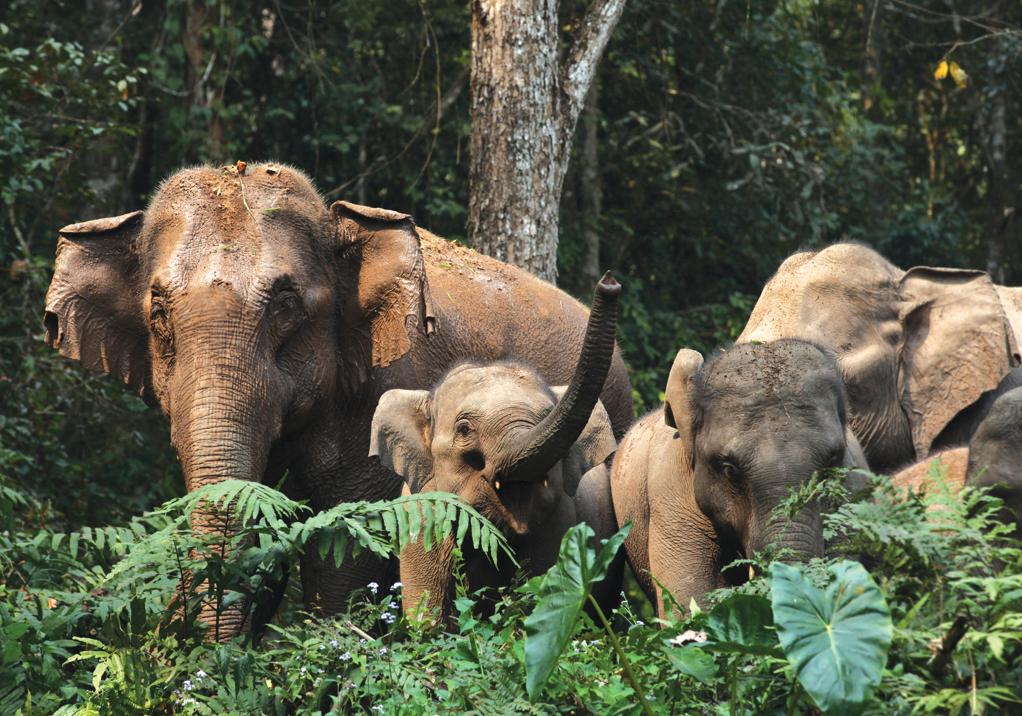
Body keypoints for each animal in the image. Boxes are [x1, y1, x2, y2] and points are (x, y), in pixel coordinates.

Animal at [369, 273, 621, 621]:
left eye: (548, 415)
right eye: (464, 430)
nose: (610, 282)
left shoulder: (559, 525)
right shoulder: (420, 521)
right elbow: (429, 617)